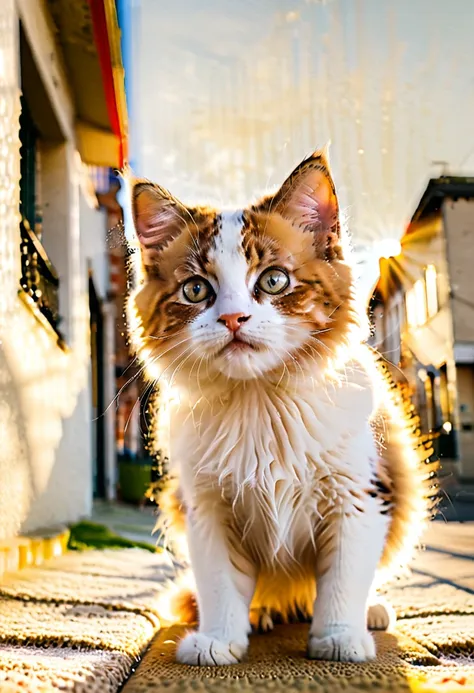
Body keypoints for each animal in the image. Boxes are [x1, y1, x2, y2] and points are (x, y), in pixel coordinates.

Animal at [127, 150, 436, 664]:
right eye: (195, 290)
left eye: (274, 280)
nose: (234, 318)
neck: (260, 400)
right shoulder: (206, 508)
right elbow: (219, 584)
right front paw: (220, 639)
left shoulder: (359, 495)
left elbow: (343, 577)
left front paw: (339, 636)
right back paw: (263, 613)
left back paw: (370, 612)